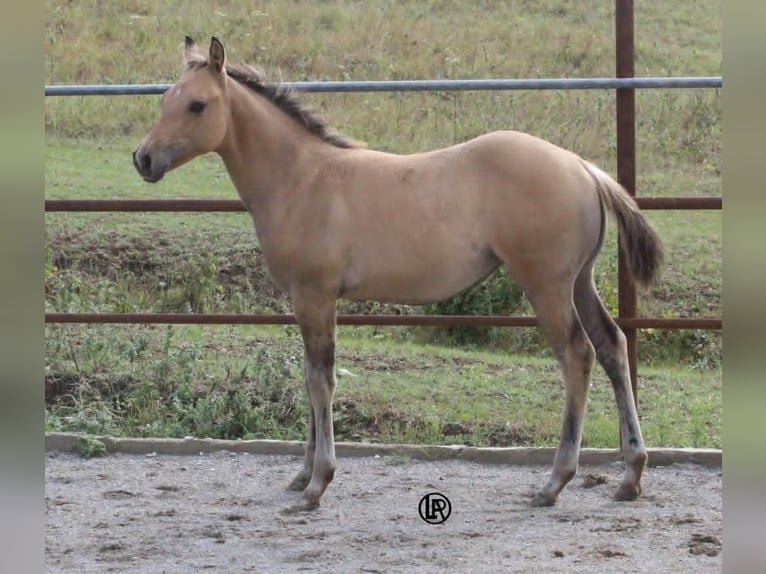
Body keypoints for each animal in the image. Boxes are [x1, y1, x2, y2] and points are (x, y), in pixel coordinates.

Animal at [133, 37, 664, 509]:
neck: (301, 178)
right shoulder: (307, 301)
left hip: (547, 286)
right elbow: (308, 376)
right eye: (165, 100)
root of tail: (583, 167)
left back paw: (555, 482)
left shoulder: (314, 295)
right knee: (613, 346)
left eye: (198, 105)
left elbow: (320, 380)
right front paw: (301, 473)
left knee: (577, 356)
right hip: (579, 282)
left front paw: (317, 484)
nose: (143, 158)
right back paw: (631, 475)